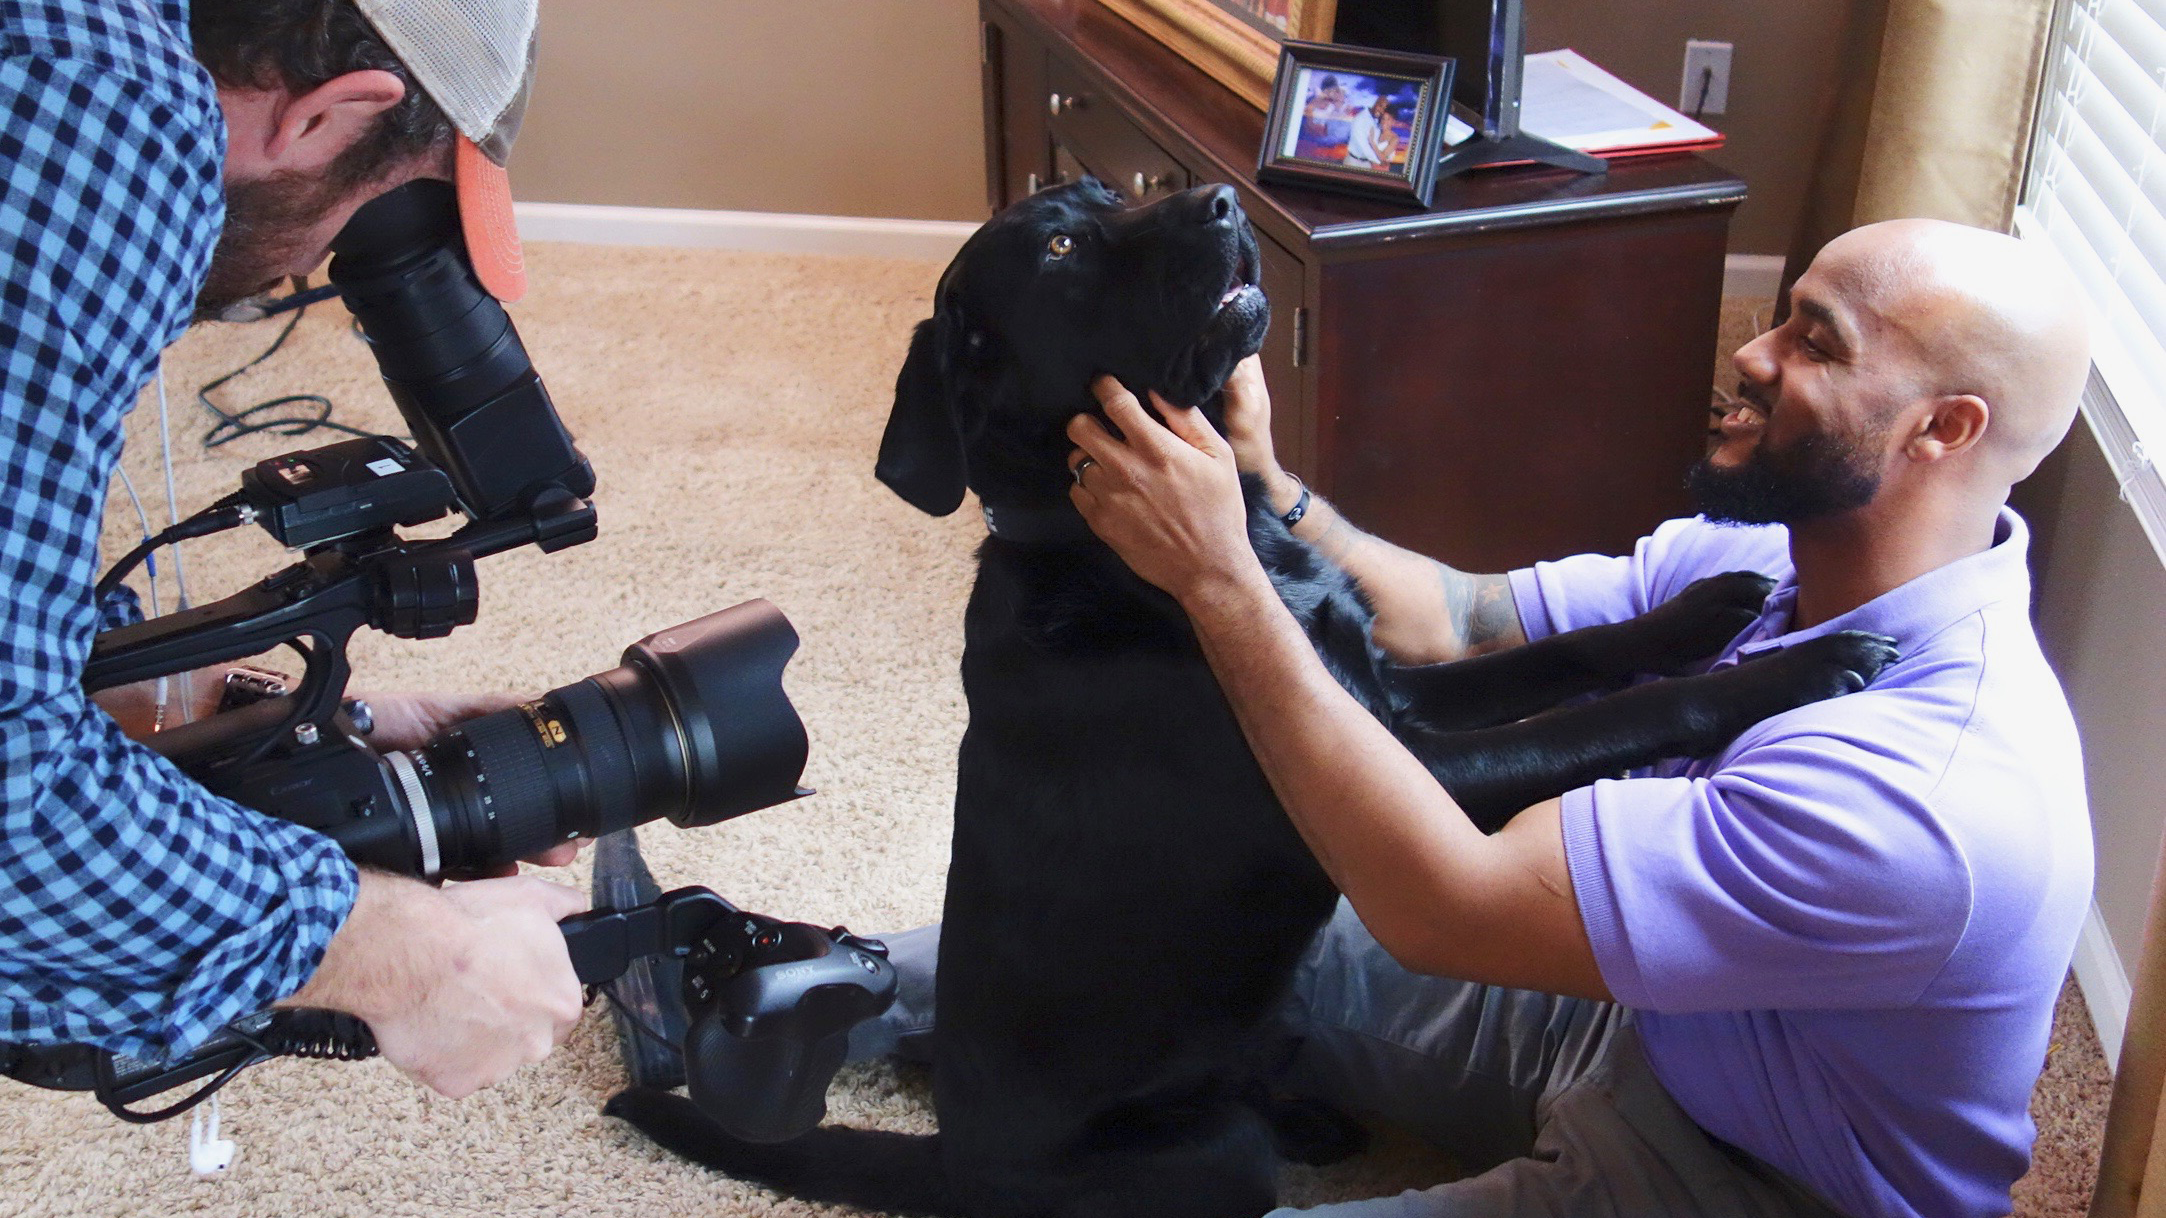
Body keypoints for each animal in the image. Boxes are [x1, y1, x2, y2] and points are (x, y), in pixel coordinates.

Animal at [610, 175, 1897, 1204]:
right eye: (1062, 248)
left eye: (1104, 195)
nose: (1223, 201)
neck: (1149, 550)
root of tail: (959, 1165)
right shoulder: (1412, 769)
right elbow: (1604, 713)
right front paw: (1812, 665)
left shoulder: (1391, 703)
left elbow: (1559, 659)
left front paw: (1706, 610)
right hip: (1207, 1145)